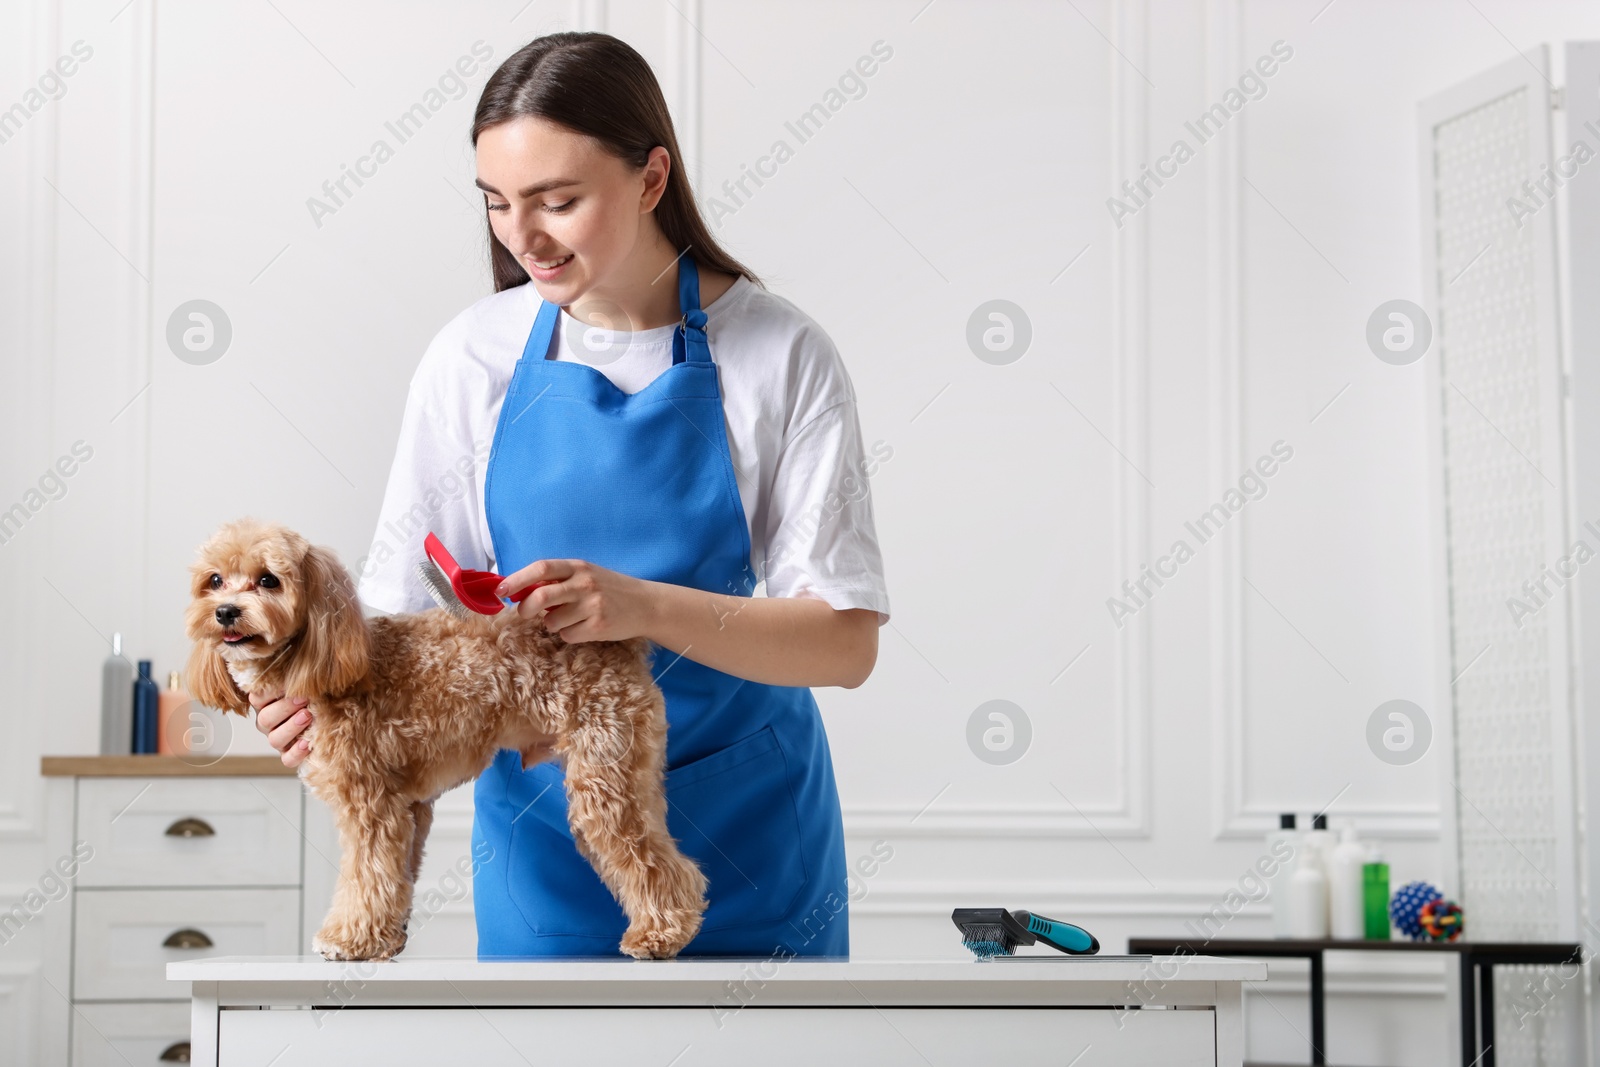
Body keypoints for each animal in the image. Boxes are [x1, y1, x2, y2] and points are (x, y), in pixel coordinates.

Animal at [184, 521, 710, 966]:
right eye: (215, 581)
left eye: (268, 580)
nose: (226, 612)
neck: (320, 661)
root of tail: (621, 643)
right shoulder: (408, 809)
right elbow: (395, 878)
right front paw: (386, 940)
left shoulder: (371, 804)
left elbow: (366, 875)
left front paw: (348, 940)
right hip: (625, 773)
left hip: (604, 779)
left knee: (661, 864)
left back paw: (659, 935)